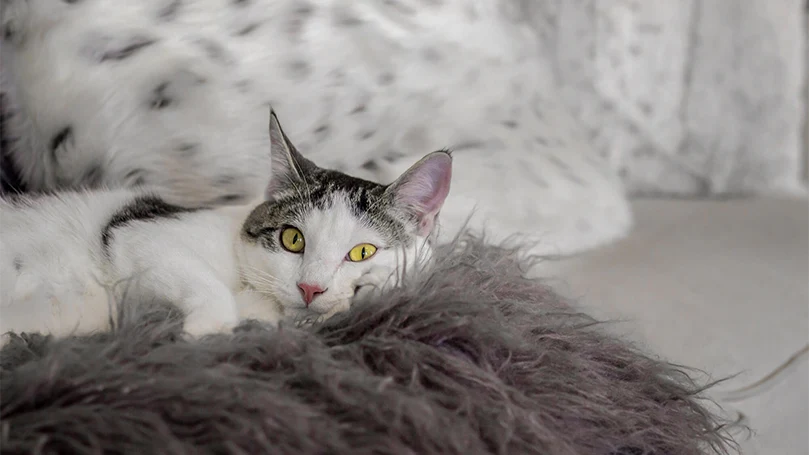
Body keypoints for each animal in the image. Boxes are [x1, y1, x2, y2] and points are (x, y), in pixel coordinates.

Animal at [0, 110, 454, 344]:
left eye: (362, 252)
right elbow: (200, 279)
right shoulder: (137, 231)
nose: (310, 288)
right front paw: (211, 328)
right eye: (293, 239)